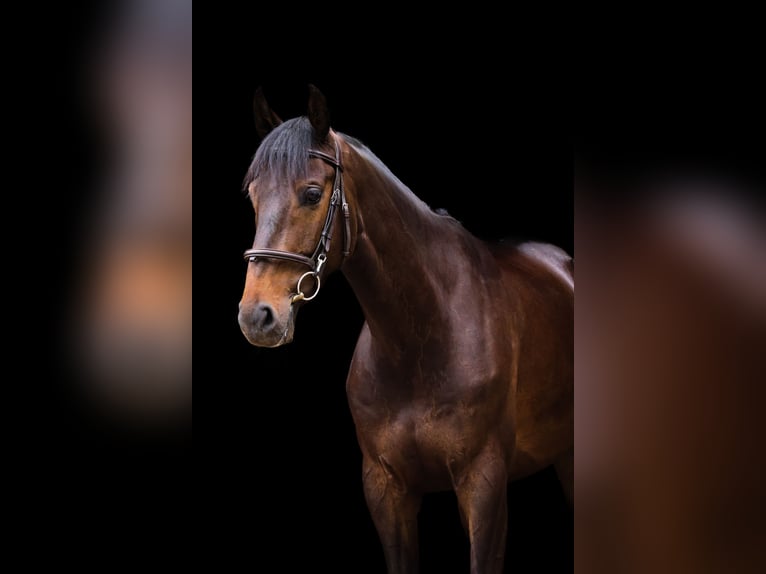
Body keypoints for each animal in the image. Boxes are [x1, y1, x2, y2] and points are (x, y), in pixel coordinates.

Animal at [238, 85, 573, 574]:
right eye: (253, 196)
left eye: (313, 193)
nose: (257, 316)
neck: (422, 338)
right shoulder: (385, 489)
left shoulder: (484, 484)